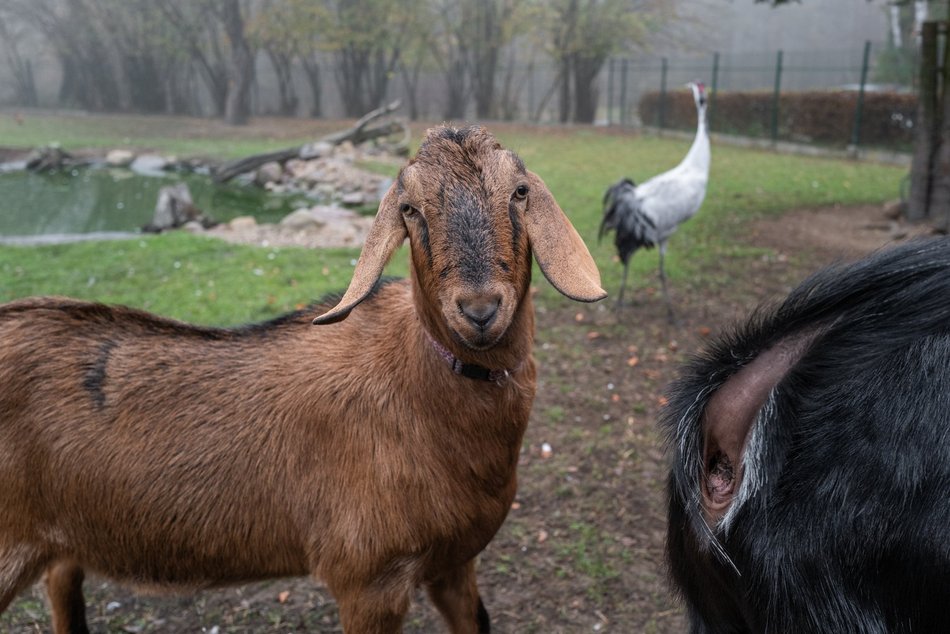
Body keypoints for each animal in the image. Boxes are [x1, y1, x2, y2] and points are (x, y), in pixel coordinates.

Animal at [0, 124, 608, 632]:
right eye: (409, 208)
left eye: (520, 192)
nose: (480, 309)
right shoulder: (369, 578)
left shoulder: (454, 561)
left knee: (62, 579)